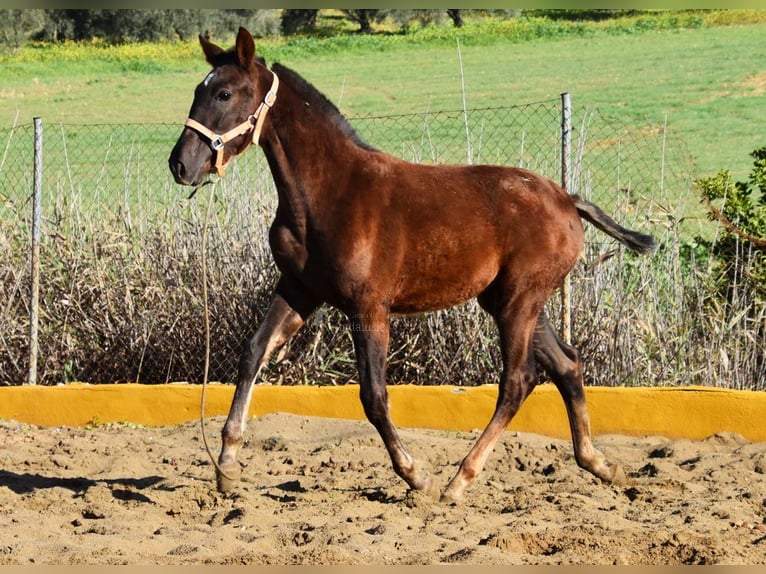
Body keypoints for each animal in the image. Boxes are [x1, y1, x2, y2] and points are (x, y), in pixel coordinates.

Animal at [168, 28, 656, 504]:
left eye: (225, 94)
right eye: (198, 90)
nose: (180, 164)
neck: (329, 194)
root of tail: (568, 201)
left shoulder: (369, 307)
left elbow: (373, 394)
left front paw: (415, 475)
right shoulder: (299, 289)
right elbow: (253, 352)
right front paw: (227, 464)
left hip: (519, 302)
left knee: (518, 380)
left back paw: (459, 480)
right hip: (512, 301)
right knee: (567, 365)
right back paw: (599, 464)